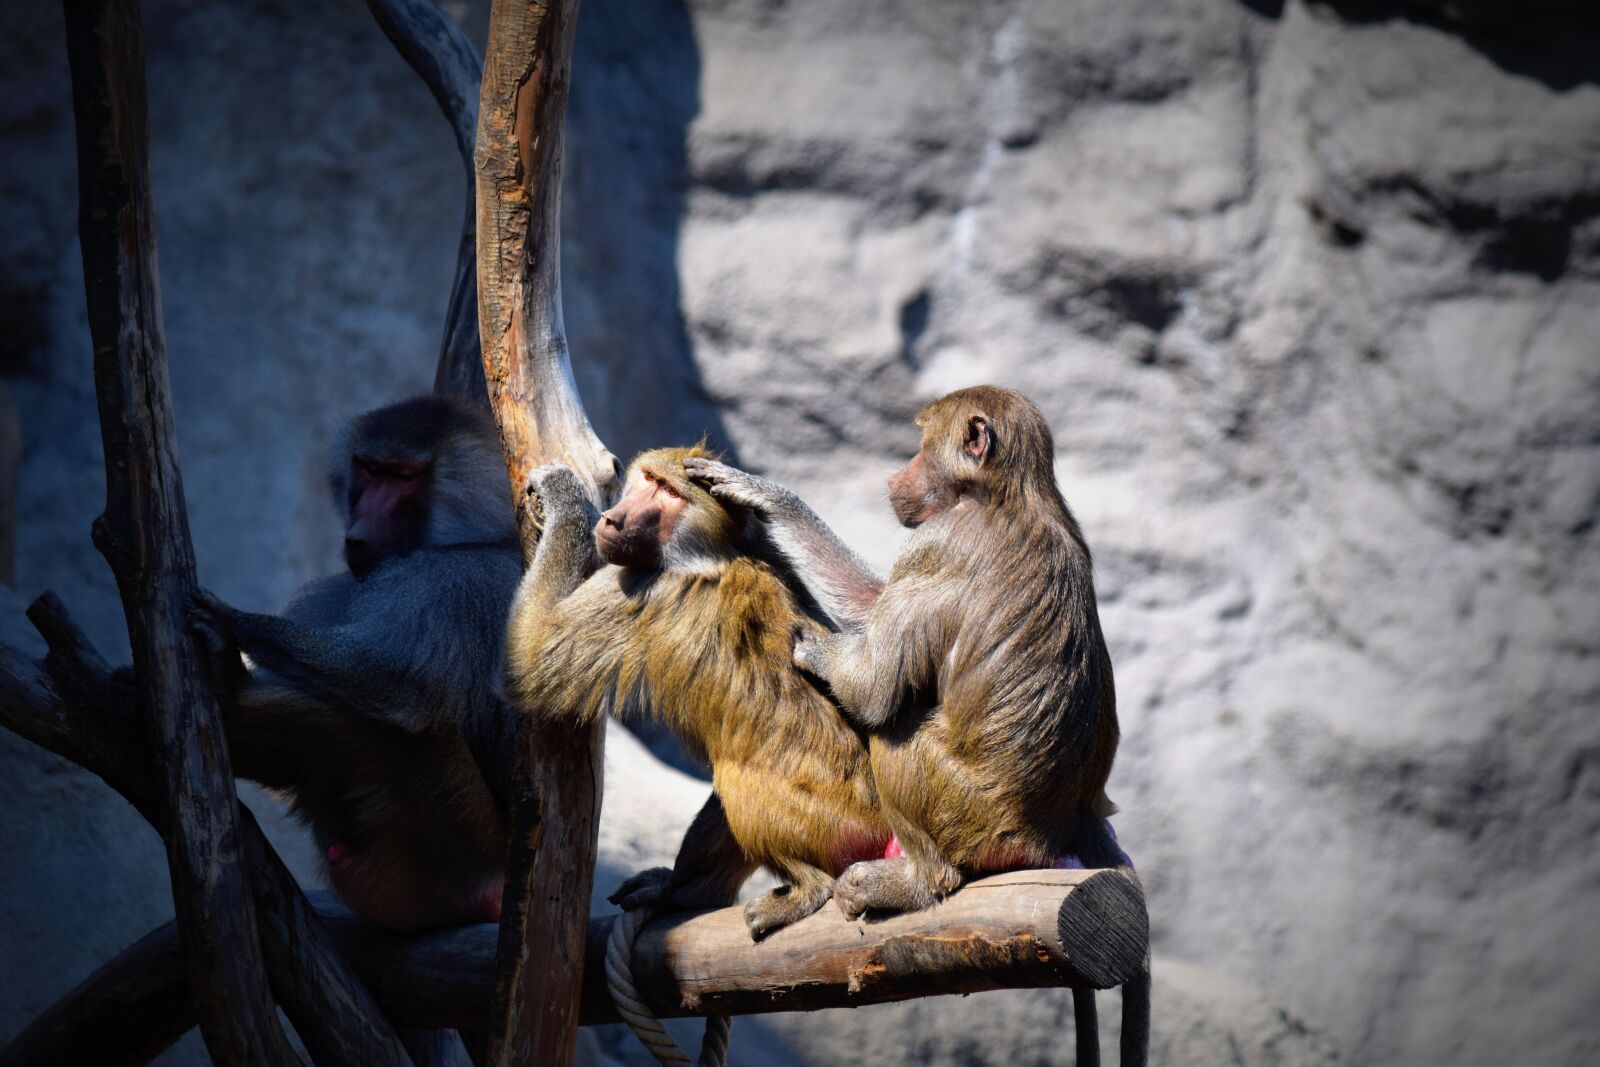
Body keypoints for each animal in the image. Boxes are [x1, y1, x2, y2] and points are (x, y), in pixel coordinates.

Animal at [188, 394, 524, 932]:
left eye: (404, 476)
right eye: (369, 469)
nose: (358, 538)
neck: (474, 537)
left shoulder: (454, 586)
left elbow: (398, 687)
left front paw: (233, 624)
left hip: (464, 849)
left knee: (399, 727)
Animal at [504, 447, 890, 939]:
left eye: (669, 494)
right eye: (649, 480)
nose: (612, 520)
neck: (709, 554)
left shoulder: (635, 585)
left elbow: (529, 654)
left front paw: (563, 496)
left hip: (839, 827)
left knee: (737, 779)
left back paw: (808, 890)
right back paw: (685, 893)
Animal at [685, 384, 1122, 919]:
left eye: (922, 447)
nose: (896, 477)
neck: (1011, 492)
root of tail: (1051, 837)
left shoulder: (938, 543)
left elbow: (873, 691)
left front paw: (819, 654)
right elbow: (871, 604)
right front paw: (772, 500)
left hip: (968, 813)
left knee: (894, 729)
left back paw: (914, 883)